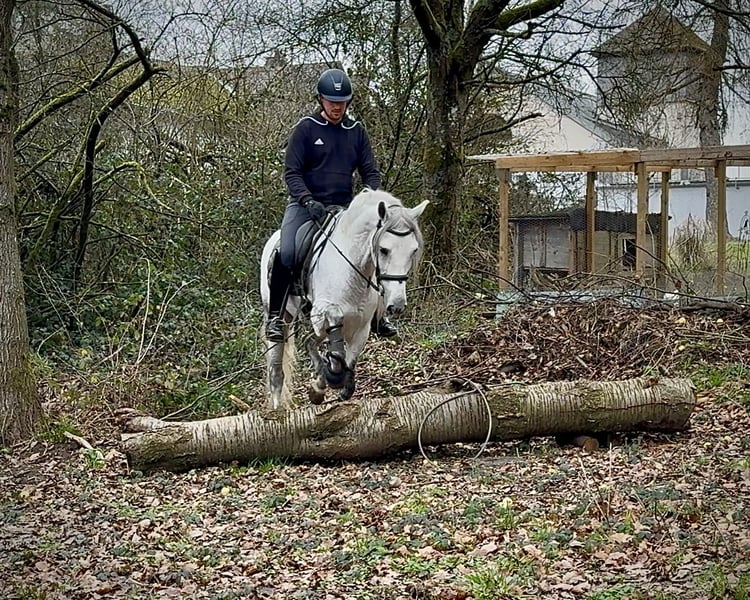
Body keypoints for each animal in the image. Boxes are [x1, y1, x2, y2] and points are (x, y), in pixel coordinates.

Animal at [260, 188, 429, 410]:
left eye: (413, 250)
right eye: (384, 250)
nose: (397, 305)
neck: (351, 271)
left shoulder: (361, 327)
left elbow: (347, 360)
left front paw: (323, 386)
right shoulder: (325, 312)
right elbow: (337, 348)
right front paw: (328, 381)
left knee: (309, 341)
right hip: (281, 315)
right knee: (277, 369)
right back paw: (277, 408)